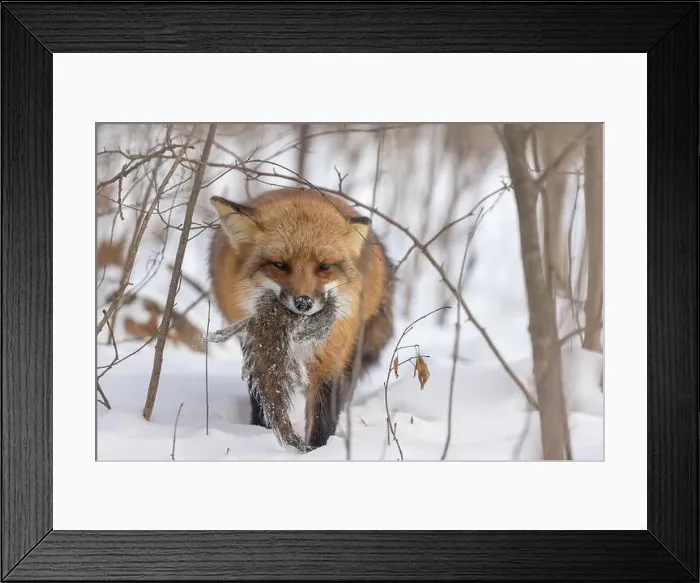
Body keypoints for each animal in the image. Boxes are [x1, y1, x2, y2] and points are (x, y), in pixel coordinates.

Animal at [208, 187, 395, 452]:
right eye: (279, 264)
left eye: (324, 266)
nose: (304, 303)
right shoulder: (259, 345)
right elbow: (264, 396)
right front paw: (264, 433)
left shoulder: (330, 352)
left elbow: (322, 416)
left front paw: (318, 451)